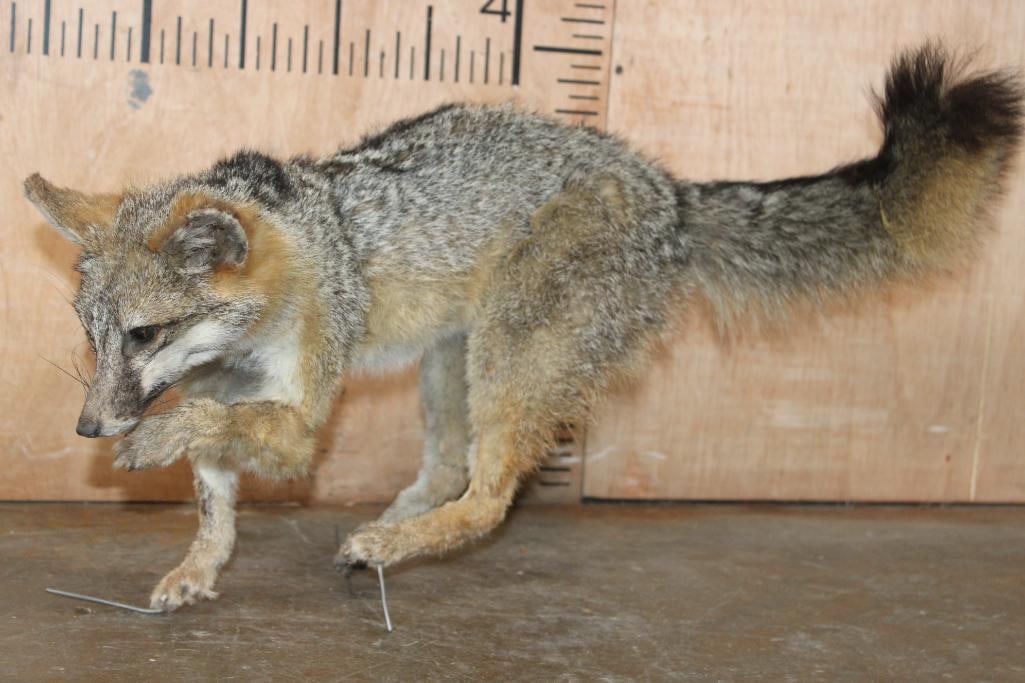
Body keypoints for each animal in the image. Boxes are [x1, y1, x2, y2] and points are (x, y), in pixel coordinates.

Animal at [22, 44, 1023, 611]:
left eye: (143, 334)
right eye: (92, 335)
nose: (86, 427)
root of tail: (670, 191)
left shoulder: (299, 420)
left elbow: (213, 425)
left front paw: (149, 444)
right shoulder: (234, 388)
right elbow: (214, 491)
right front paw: (199, 564)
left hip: (507, 353)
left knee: (493, 495)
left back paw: (389, 543)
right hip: (450, 361)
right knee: (455, 471)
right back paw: (397, 520)